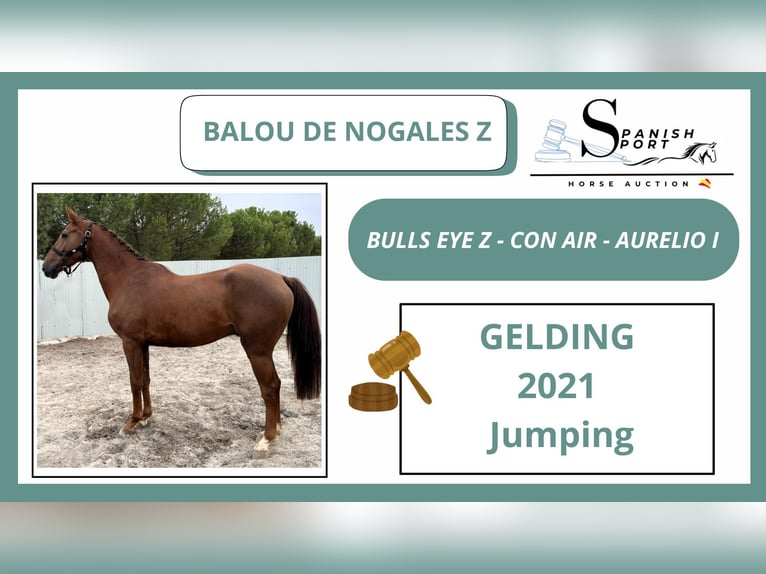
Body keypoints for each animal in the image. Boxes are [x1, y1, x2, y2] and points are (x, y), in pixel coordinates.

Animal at [41, 206, 321, 453]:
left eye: (65, 234)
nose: (46, 267)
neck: (129, 278)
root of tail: (281, 278)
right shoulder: (143, 344)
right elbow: (145, 380)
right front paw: (146, 417)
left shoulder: (129, 342)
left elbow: (134, 381)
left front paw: (132, 422)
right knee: (275, 386)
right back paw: (276, 431)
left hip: (257, 350)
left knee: (270, 387)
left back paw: (267, 438)